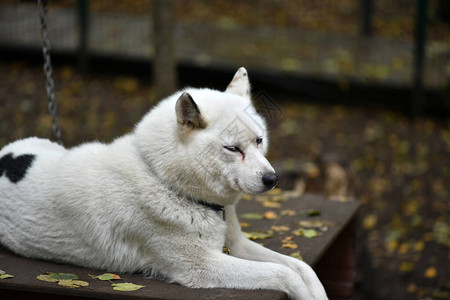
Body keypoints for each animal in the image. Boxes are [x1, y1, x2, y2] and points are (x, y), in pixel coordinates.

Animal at [0, 67, 326, 298]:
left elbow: (302, 268)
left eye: (259, 141)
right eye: (233, 149)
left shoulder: (237, 246)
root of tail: (5, 154)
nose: (272, 180)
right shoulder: (202, 268)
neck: (166, 181)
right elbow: (285, 274)